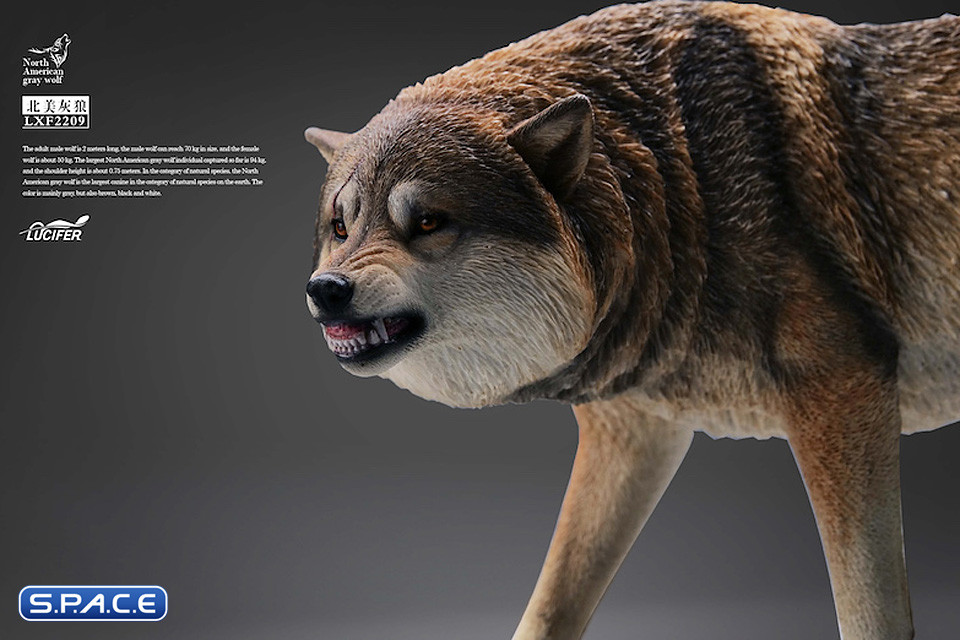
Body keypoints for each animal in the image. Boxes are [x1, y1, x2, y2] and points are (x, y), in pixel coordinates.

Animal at [303, 2, 959, 638]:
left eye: (428, 222)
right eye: (341, 226)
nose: (326, 289)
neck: (682, 181)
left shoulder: (845, 390)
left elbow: (869, 612)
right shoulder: (633, 433)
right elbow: (548, 608)